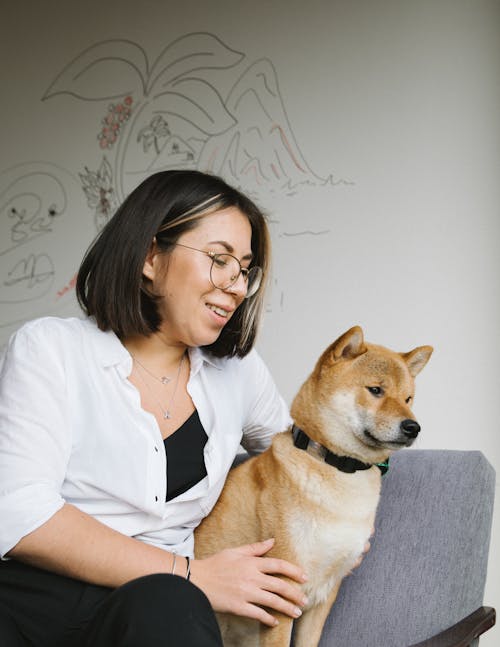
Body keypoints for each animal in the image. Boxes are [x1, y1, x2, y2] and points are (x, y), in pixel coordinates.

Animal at [195, 330, 434, 647]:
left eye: (408, 398)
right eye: (376, 390)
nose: (413, 427)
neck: (337, 469)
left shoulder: (324, 595)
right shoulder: (282, 594)